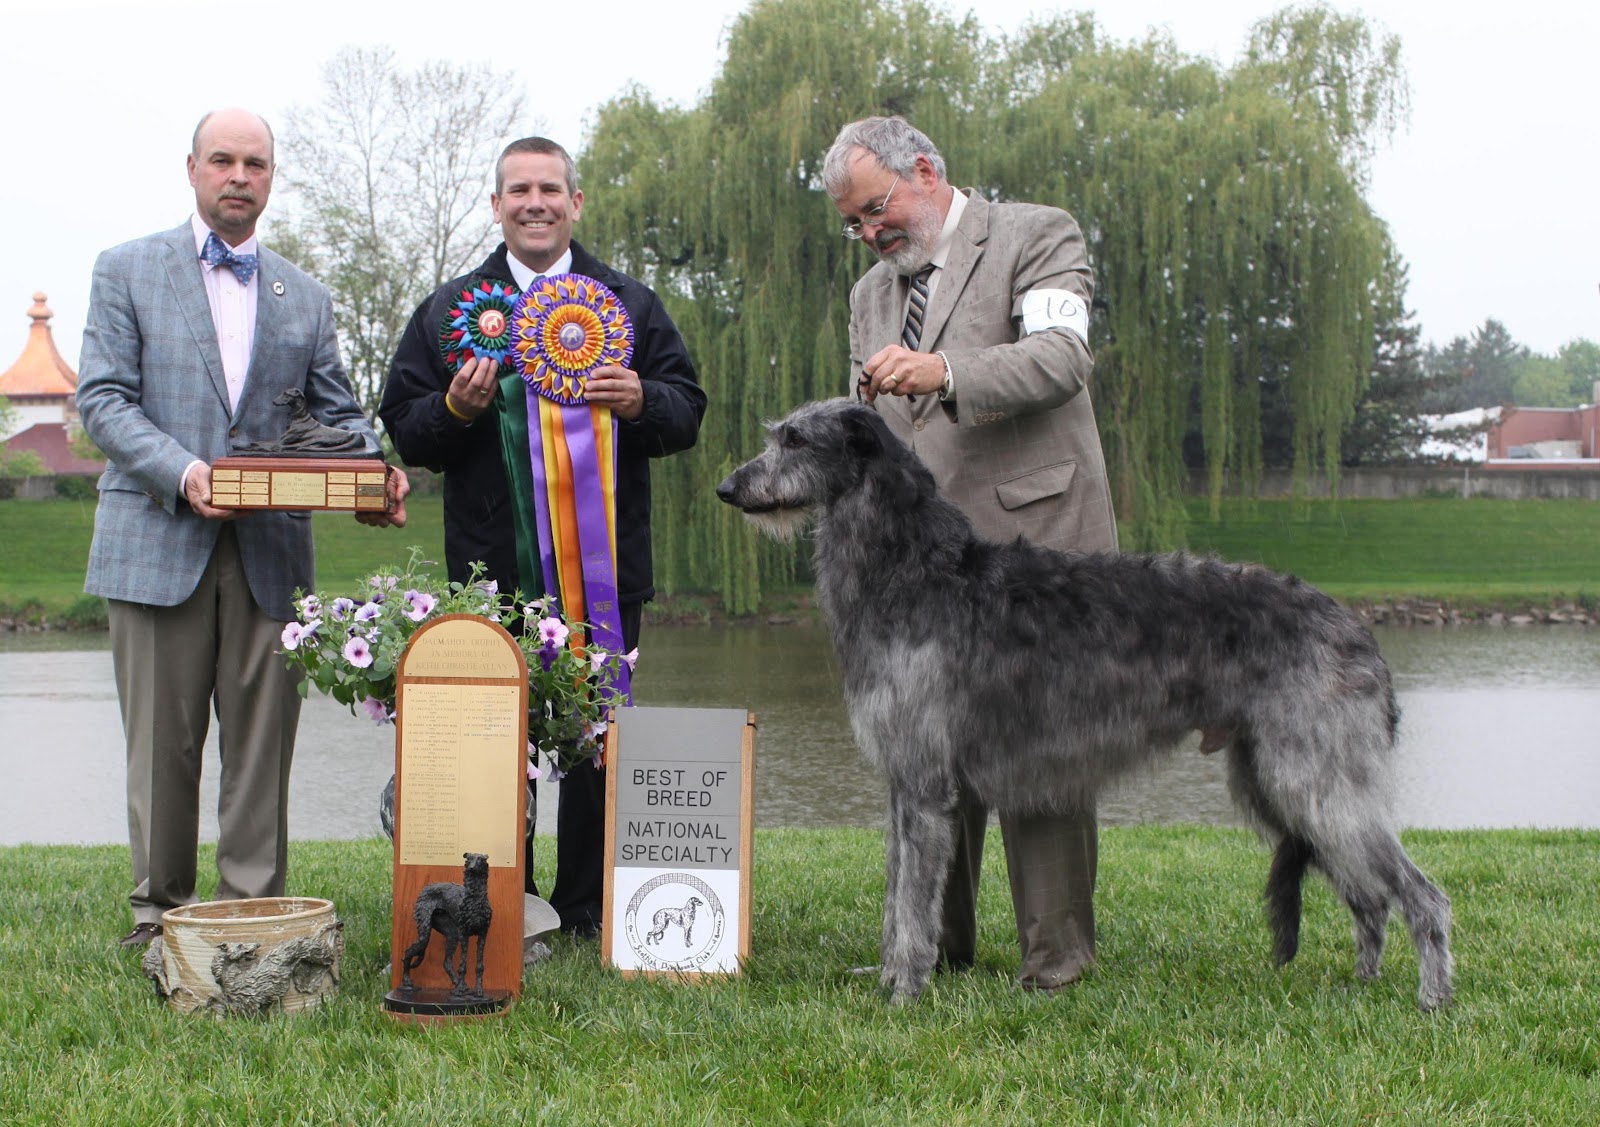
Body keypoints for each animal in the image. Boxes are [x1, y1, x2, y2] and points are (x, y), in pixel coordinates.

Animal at [720, 400, 1459, 1005]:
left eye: (793, 439)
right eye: (775, 435)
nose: (729, 487)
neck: (916, 571)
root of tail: (1357, 628)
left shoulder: (927, 784)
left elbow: (910, 902)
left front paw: (903, 991)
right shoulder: (905, 782)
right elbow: (896, 893)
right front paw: (888, 977)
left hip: (1316, 777)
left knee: (1422, 894)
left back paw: (1433, 998)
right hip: (1277, 779)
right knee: (1369, 898)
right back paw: (1363, 984)